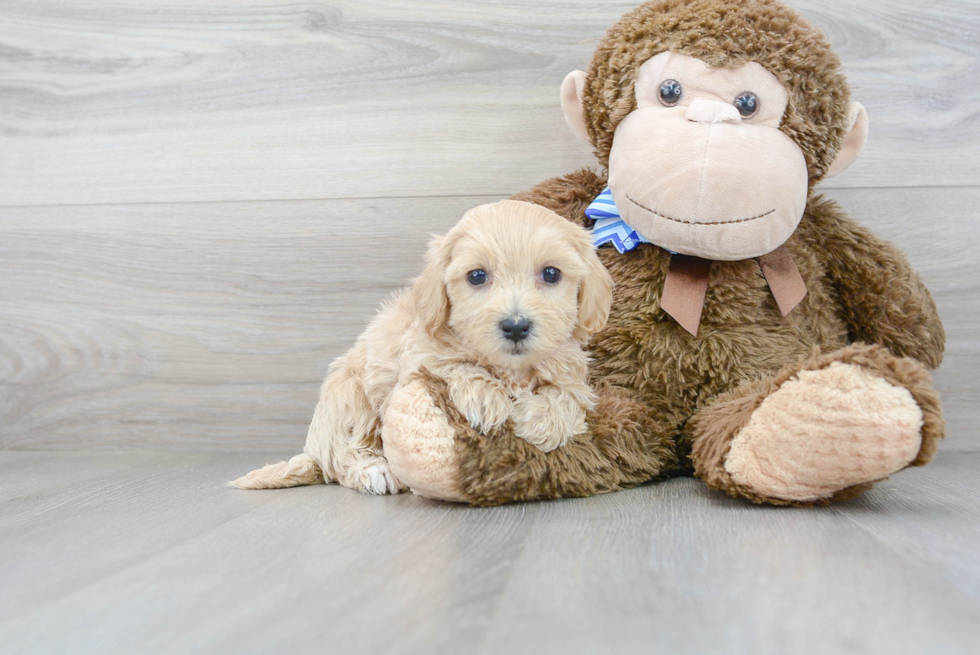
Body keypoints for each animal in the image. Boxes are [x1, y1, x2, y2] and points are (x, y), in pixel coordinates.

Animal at [232, 197, 612, 494]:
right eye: (477, 276)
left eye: (551, 274)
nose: (515, 326)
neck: (509, 368)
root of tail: (313, 449)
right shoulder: (416, 363)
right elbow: (454, 367)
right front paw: (486, 397)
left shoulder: (573, 376)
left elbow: (567, 399)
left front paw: (539, 419)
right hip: (350, 397)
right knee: (342, 458)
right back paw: (375, 471)